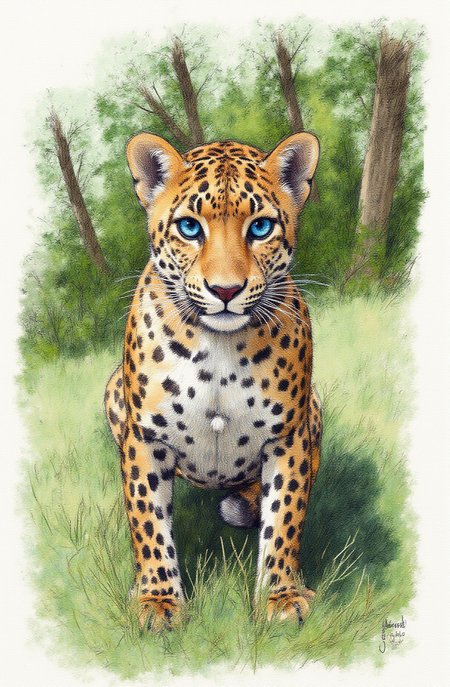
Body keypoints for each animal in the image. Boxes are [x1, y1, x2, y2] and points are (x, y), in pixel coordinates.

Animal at [104, 130, 322, 631]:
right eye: (190, 228)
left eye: (260, 228)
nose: (225, 290)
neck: (219, 349)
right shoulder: (144, 437)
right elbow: (148, 521)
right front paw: (158, 602)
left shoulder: (290, 435)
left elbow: (284, 518)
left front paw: (280, 597)